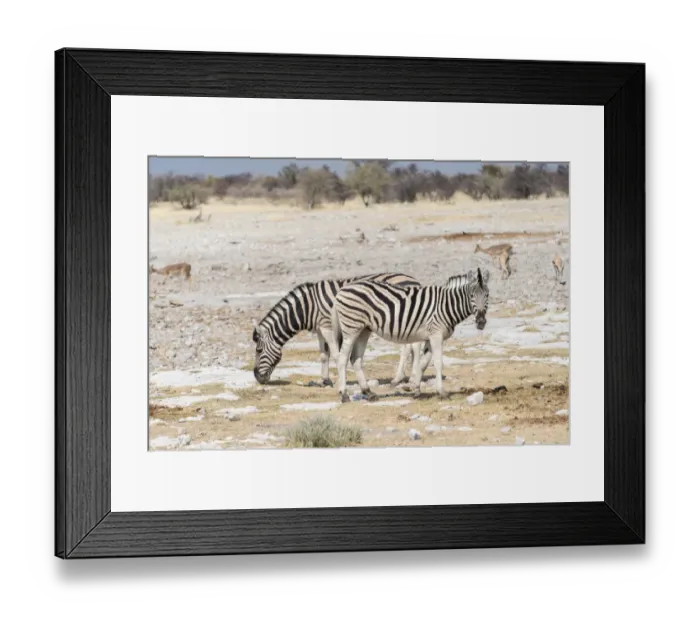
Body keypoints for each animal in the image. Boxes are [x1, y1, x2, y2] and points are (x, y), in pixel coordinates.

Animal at [252, 273, 427, 386]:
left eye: (259, 351)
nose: (257, 378)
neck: (307, 307)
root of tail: (413, 280)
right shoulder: (320, 329)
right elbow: (324, 355)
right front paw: (324, 380)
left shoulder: (327, 326)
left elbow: (336, 354)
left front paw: (338, 381)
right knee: (411, 346)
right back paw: (406, 377)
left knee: (411, 346)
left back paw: (403, 378)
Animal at [331, 268, 491, 402]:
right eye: (471, 296)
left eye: (487, 295)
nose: (481, 322)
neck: (446, 305)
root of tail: (341, 290)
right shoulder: (436, 335)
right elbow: (438, 363)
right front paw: (441, 392)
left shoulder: (429, 337)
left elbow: (423, 364)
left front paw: (416, 389)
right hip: (351, 328)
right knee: (342, 359)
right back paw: (344, 394)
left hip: (364, 329)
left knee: (355, 359)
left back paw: (368, 392)